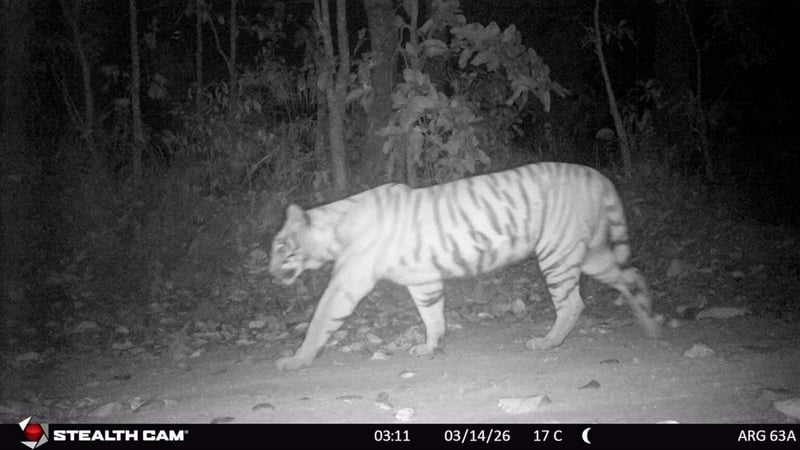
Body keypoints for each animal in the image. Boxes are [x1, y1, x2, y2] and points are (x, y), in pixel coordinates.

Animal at [269, 162, 662, 371]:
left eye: (281, 249)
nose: (269, 273)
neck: (333, 227)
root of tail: (595, 174)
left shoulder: (347, 282)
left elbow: (320, 320)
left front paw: (296, 359)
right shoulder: (423, 279)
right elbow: (432, 315)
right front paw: (430, 347)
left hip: (557, 254)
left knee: (573, 303)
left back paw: (546, 342)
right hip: (590, 253)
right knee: (631, 275)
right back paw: (650, 323)